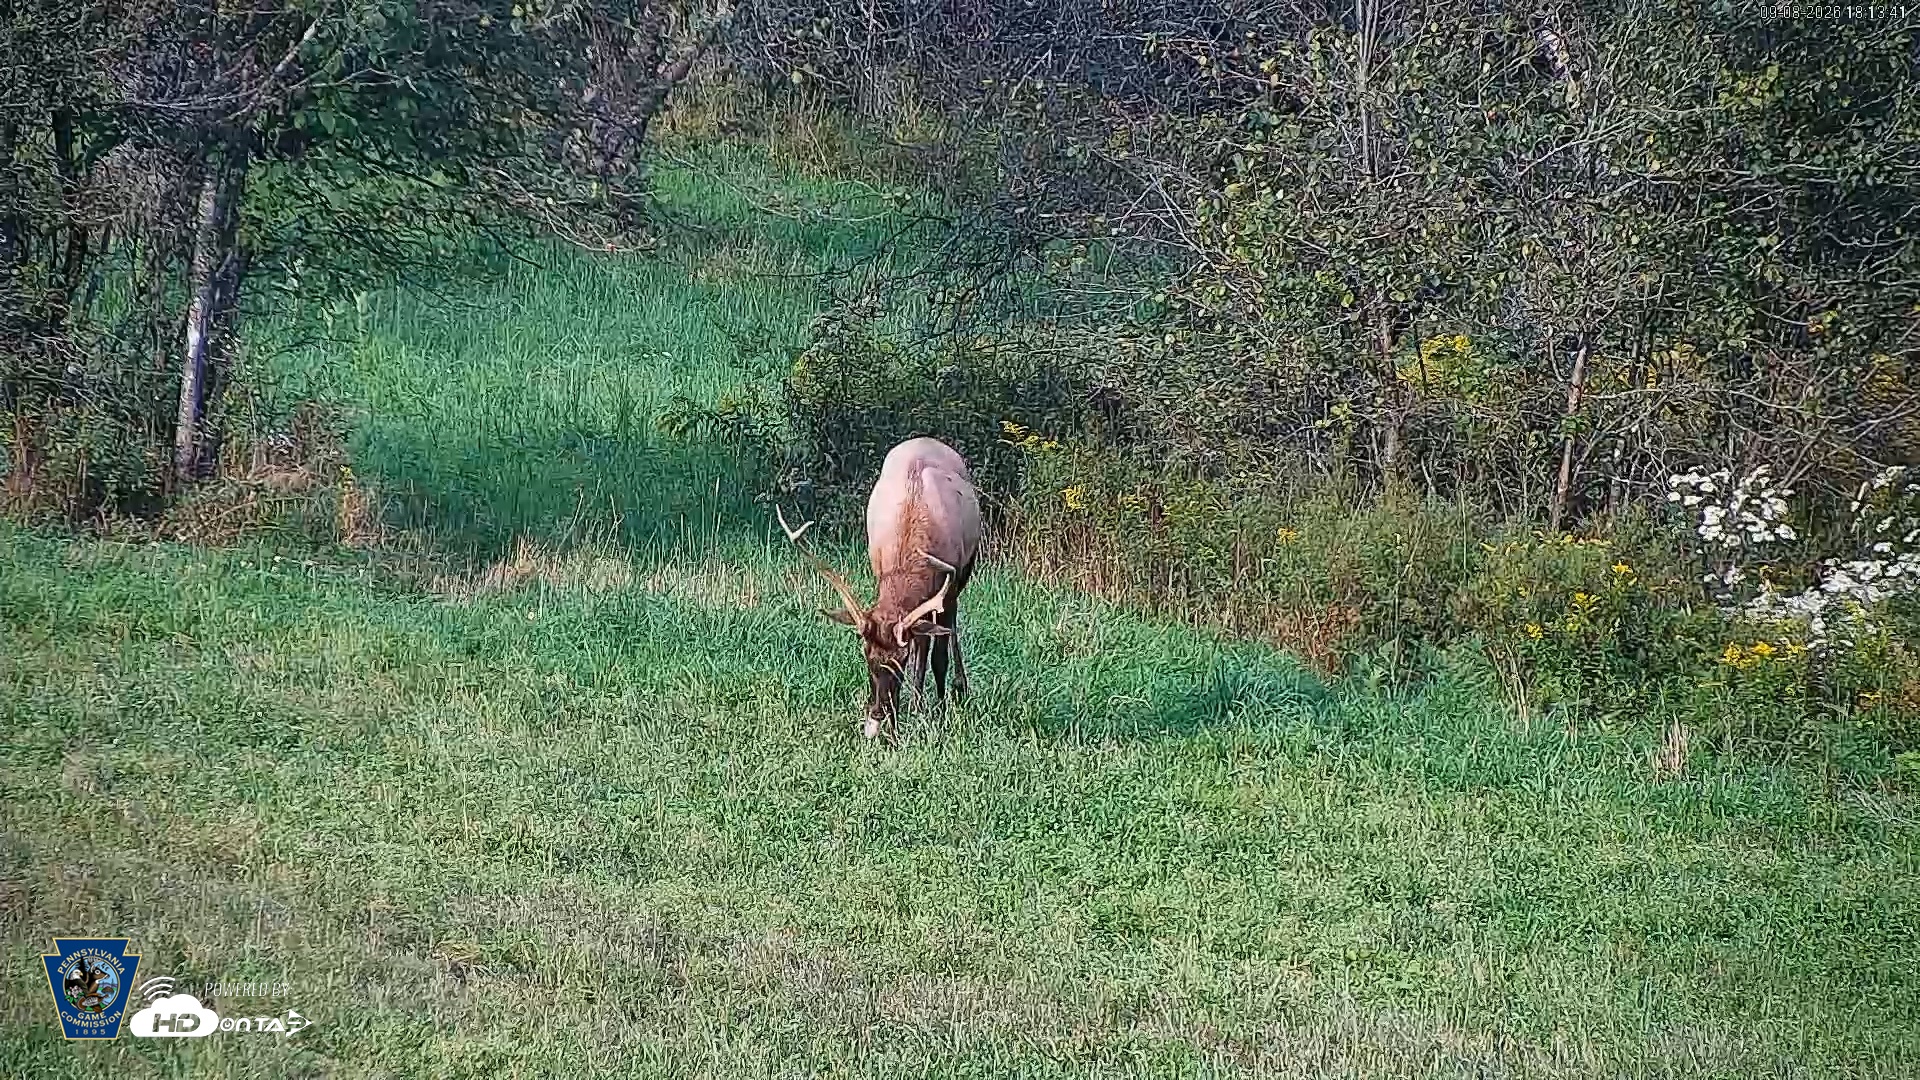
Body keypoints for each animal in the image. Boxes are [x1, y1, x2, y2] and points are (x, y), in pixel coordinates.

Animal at [779, 437, 983, 740]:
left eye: (902, 658)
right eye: (865, 653)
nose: (876, 717)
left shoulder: (951, 581)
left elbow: (939, 657)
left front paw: (941, 713)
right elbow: (922, 644)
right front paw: (898, 725)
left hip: (965, 570)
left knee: (945, 636)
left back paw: (957, 687)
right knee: (924, 638)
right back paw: (919, 701)